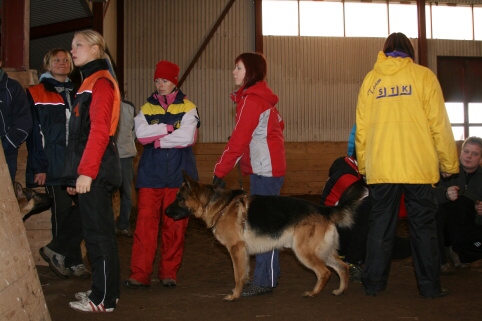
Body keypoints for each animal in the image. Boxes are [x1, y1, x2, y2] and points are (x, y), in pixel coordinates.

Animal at [167, 172, 370, 300]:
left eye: (179, 198)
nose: (165, 212)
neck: (218, 206)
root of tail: (324, 210)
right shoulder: (243, 253)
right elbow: (243, 274)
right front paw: (241, 291)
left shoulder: (236, 249)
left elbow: (237, 275)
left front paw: (234, 296)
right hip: (322, 252)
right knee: (342, 267)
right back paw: (340, 291)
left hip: (304, 252)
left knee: (325, 272)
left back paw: (313, 294)